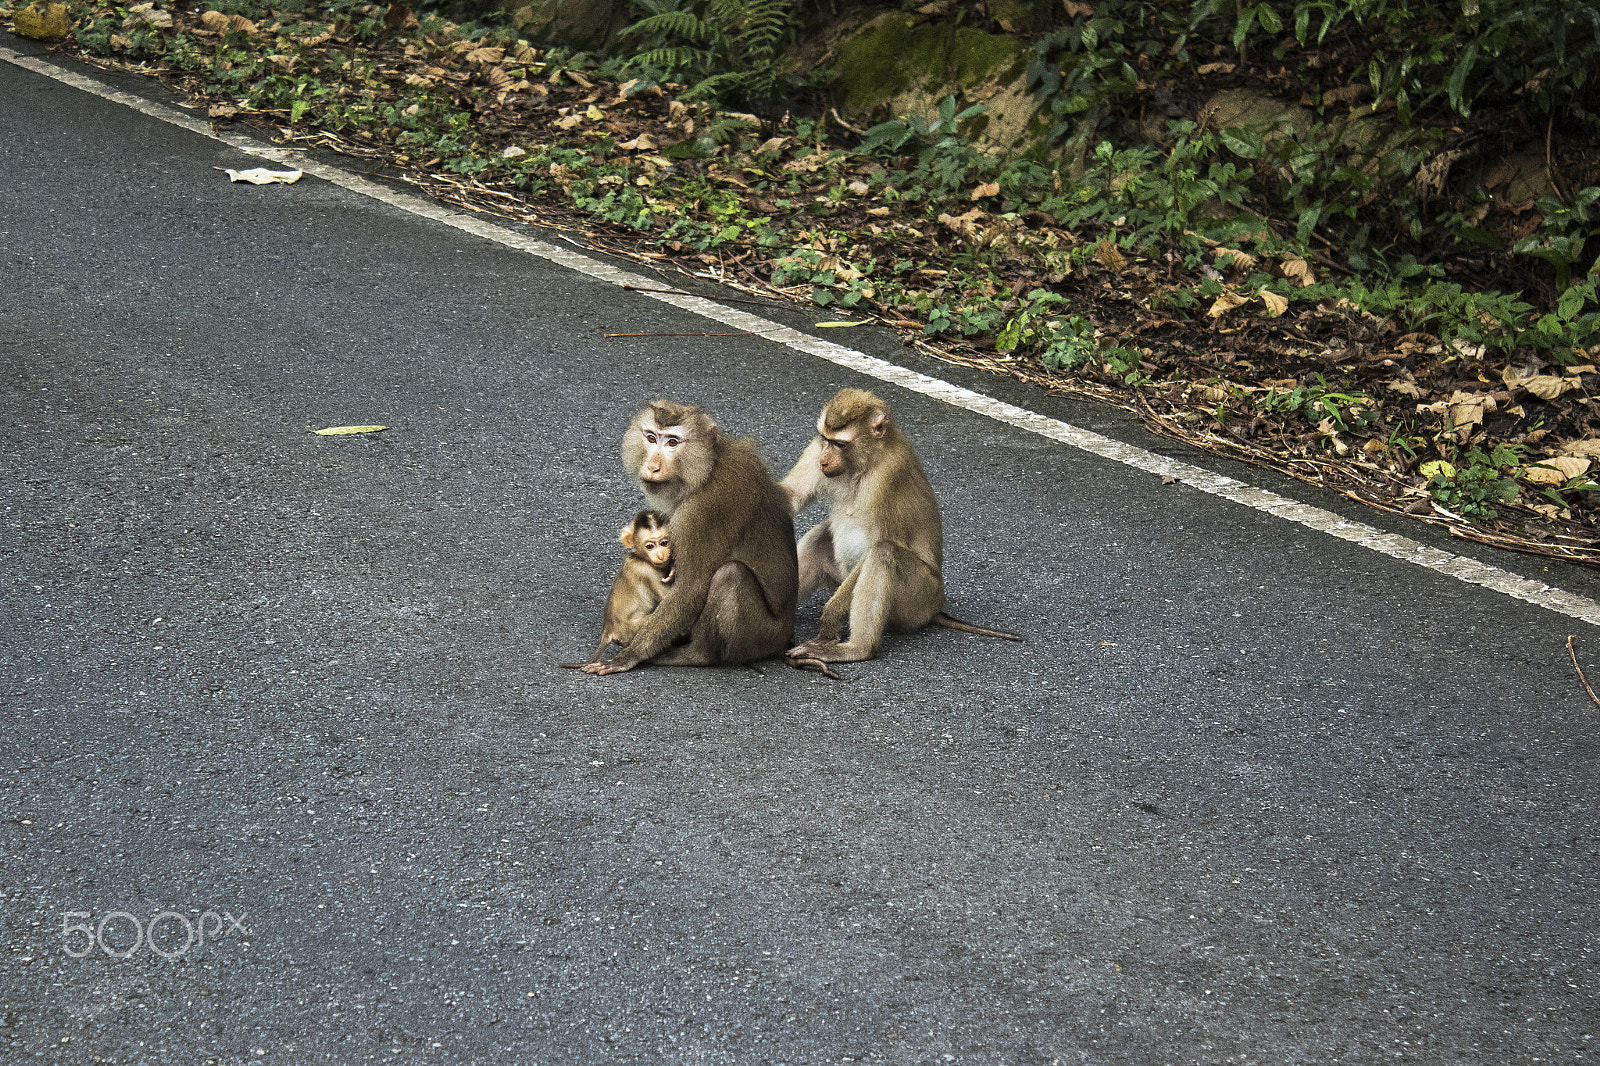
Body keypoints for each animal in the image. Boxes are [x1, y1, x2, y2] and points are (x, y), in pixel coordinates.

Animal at [560, 510, 675, 668]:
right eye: (650, 546)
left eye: (664, 543)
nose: (661, 554)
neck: (640, 557)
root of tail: (608, 630)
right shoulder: (646, 571)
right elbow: (666, 596)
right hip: (629, 630)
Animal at [575, 400, 798, 675]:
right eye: (651, 438)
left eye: (672, 442)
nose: (653, 467)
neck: (705, 470)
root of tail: (785, 638)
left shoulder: (705, 509)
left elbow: (692, 585)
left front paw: (628, 657)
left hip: (762, 636)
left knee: (731, 574)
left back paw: (696, 655)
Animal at [780, 387, 1020, 673]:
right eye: (826, 439)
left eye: (840, 444)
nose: (824, 461)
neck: (866, 462)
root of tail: (936, 607)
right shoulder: (814, 450)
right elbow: (792, 495)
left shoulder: (888, 478)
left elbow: (879, 543)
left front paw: (829, 620)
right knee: (821, 539)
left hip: (917, 600)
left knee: (883, 553)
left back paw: (857, 649)